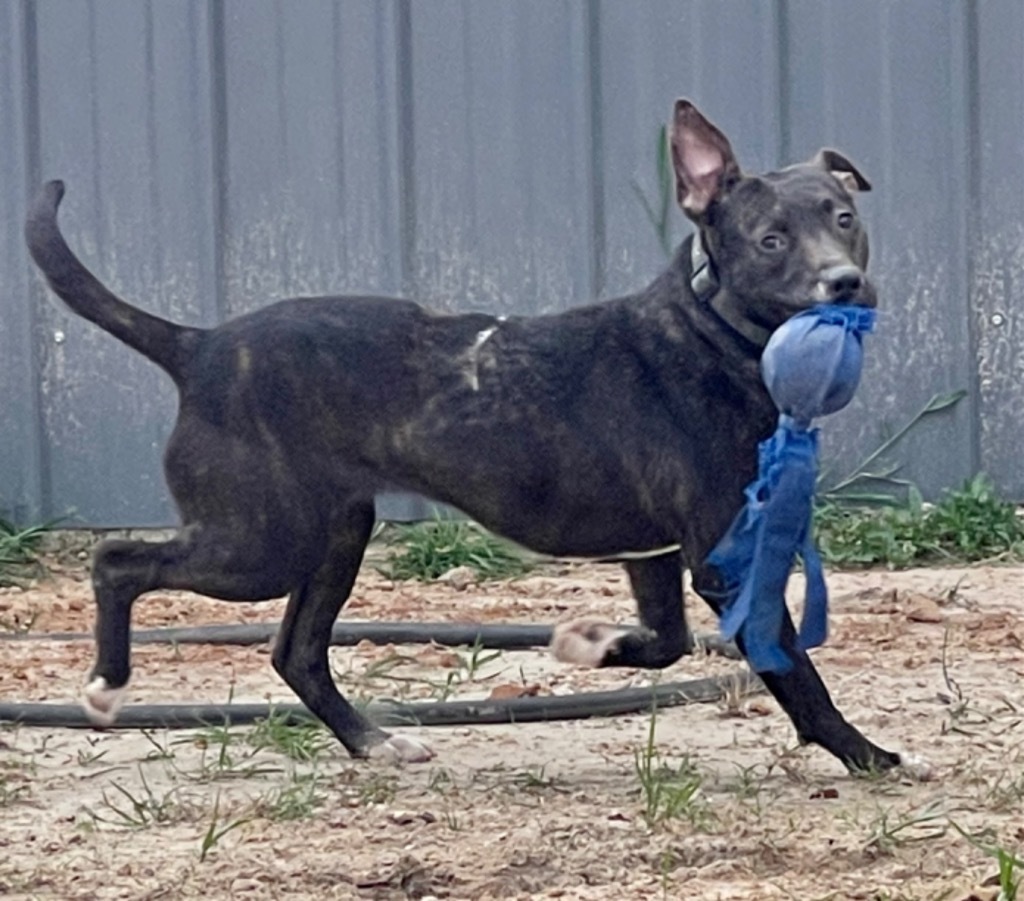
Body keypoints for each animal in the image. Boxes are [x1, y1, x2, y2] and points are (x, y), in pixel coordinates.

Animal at [24, 96, 905, 774]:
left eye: (844, 218)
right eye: (770, 239)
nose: (846, 283)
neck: (710, 330)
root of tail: (199, 346)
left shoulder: (653, 552)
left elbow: (665, 643)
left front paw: (586, 644)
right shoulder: (724, 558)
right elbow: (792, 667)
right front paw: (866, 755)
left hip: (334, 533)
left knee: (295, 653)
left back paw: (376, 742)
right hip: (260, 541)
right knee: (118, 561)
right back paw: (106, 683)